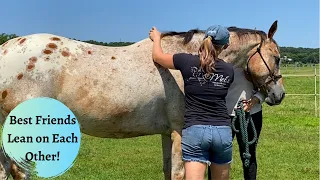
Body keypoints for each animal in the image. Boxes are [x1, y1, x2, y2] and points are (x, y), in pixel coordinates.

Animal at [0, 20, 284, 179]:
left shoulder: (167, 133)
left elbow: (168, 171)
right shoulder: (181, 133)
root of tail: (5, 49)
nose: (279, 94)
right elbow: (180, 173)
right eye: (278, 57)